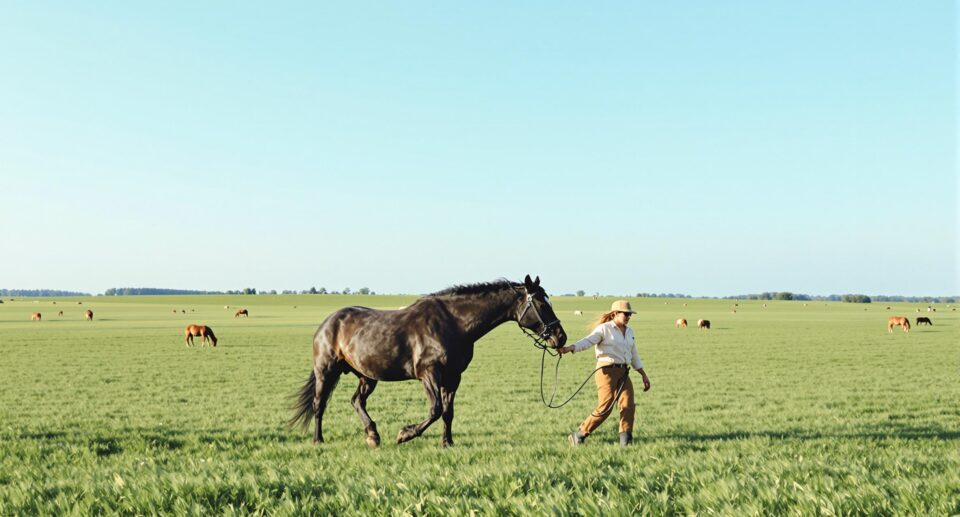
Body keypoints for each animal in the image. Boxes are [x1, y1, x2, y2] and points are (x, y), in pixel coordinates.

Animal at [290, 275, 567, 448]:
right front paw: (405, 434)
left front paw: (447, 442)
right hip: (326, 371)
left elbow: (448, 412)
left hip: (367, 376)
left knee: (356, 401)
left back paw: (372, 435)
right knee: (319, 404)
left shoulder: (453, 377)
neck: (453, 324)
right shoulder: (429, 374)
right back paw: (318, 439)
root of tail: (328, 322)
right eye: (542, 304)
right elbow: (435, 409)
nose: (560, 336)